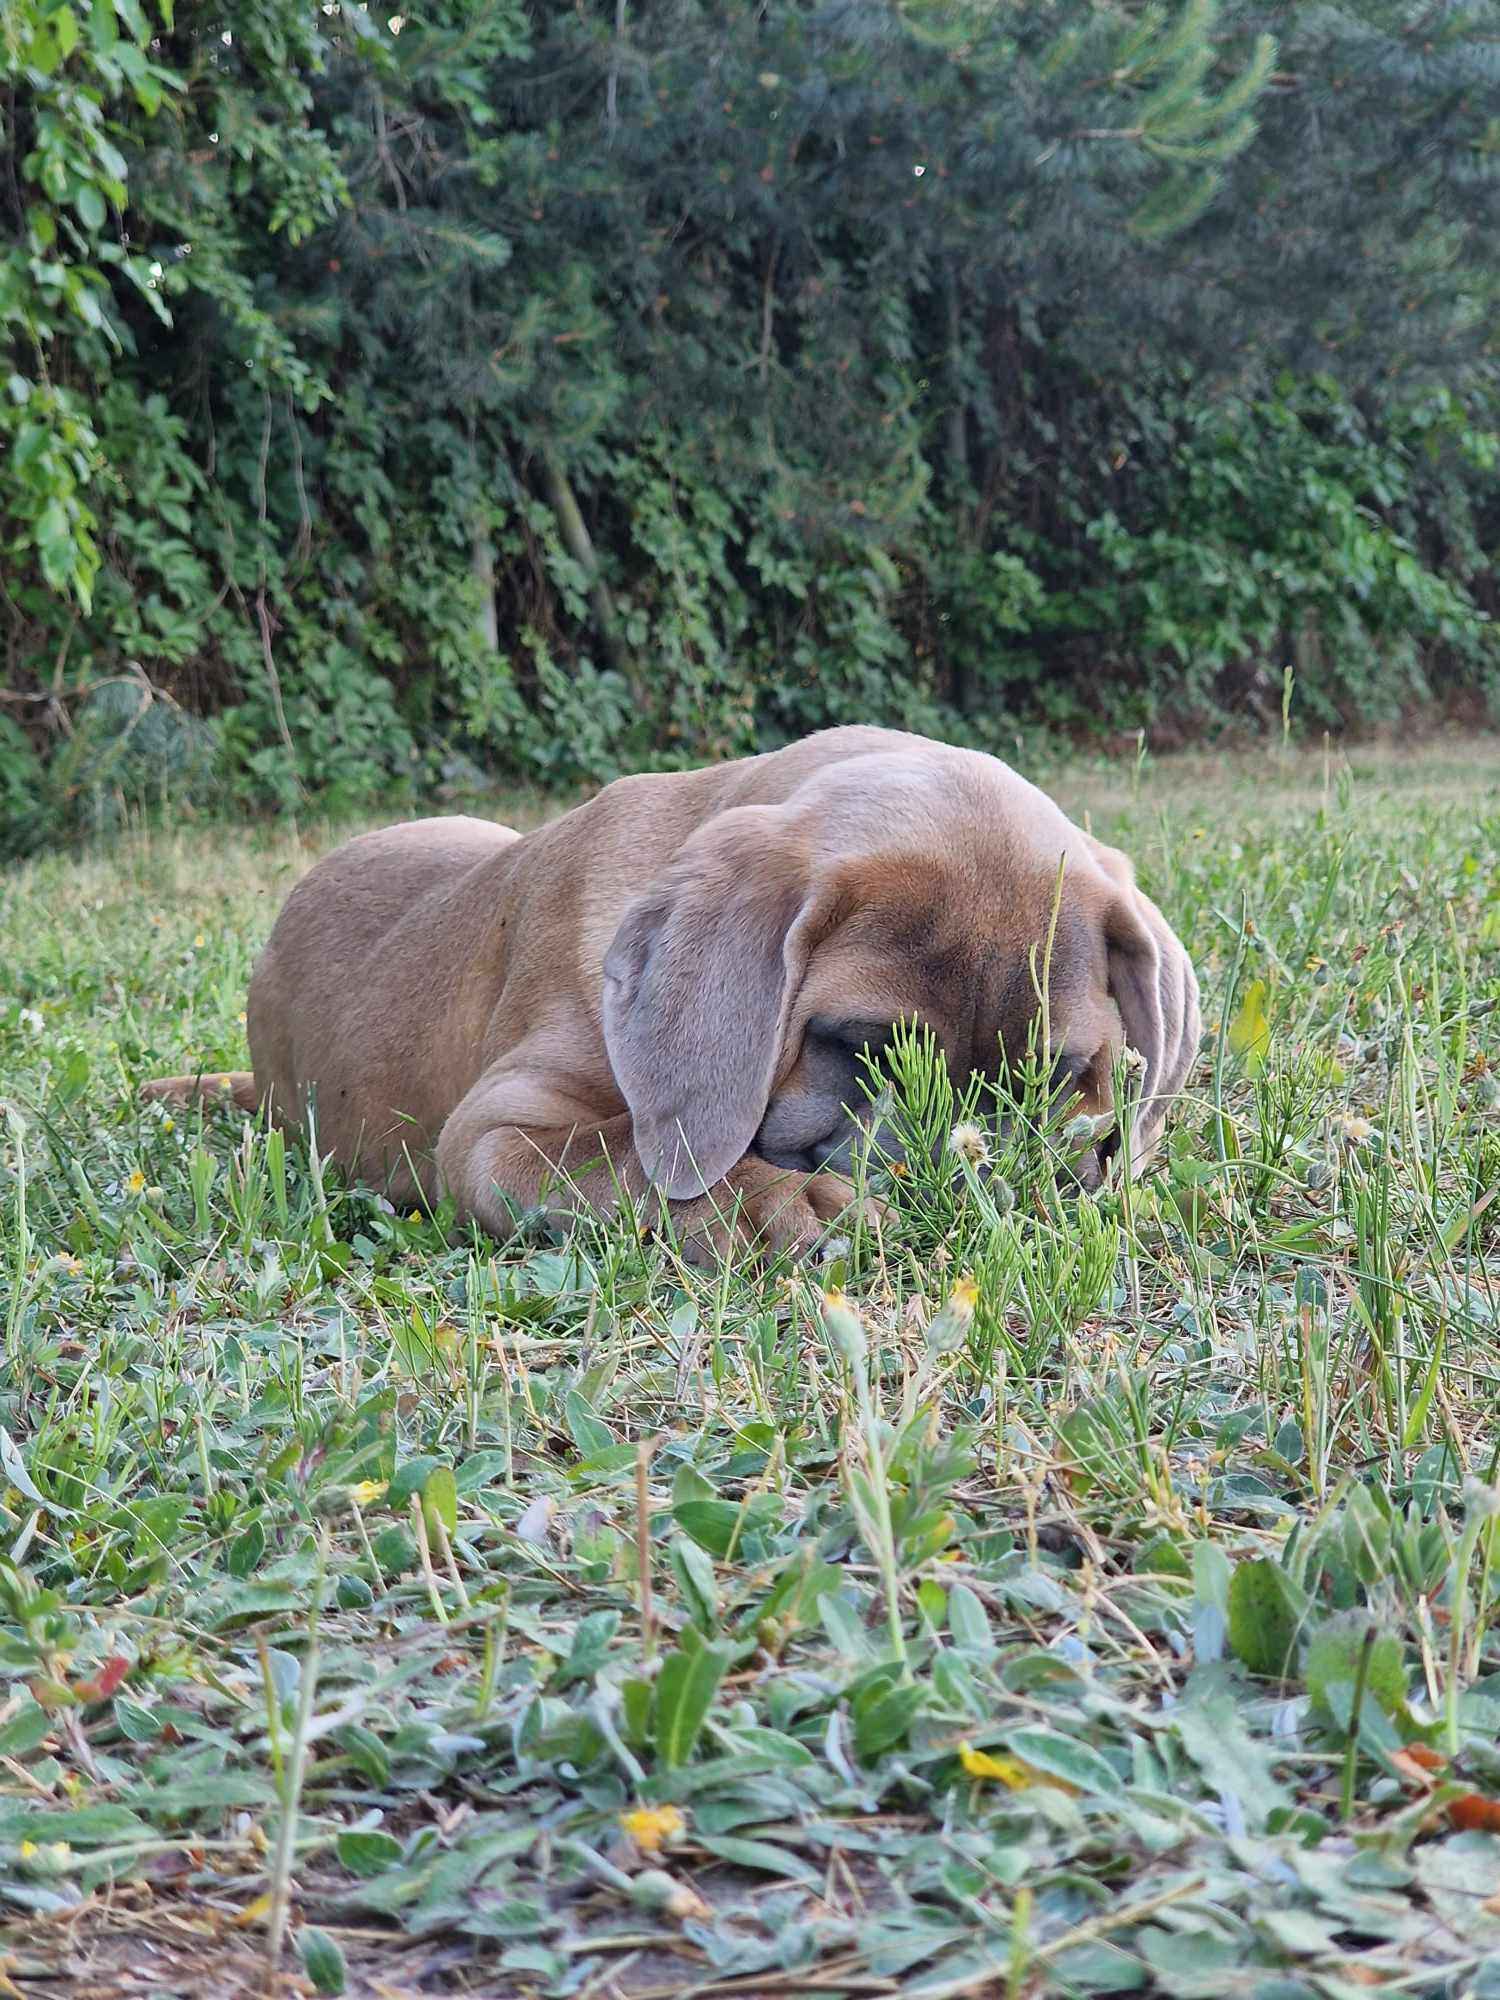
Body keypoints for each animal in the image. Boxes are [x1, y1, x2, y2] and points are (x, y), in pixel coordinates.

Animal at [147, 728, 1208, 1256]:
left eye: (1063, 1074)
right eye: (860, 1048)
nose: (978, 1173)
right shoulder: (490, 1135)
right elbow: (636, 1160)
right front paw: (772, 1205)